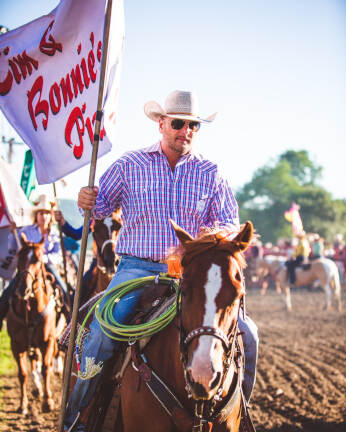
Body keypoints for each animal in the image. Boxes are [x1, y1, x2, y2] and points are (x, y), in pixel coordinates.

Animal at [6, 235, 59, 414]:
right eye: (20, 257)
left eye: (37, 259)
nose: (23, 288)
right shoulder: (16, 344)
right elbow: (23, 373)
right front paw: (23, 404)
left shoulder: (47, 341)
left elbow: (46, 368)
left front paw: (48, 402)